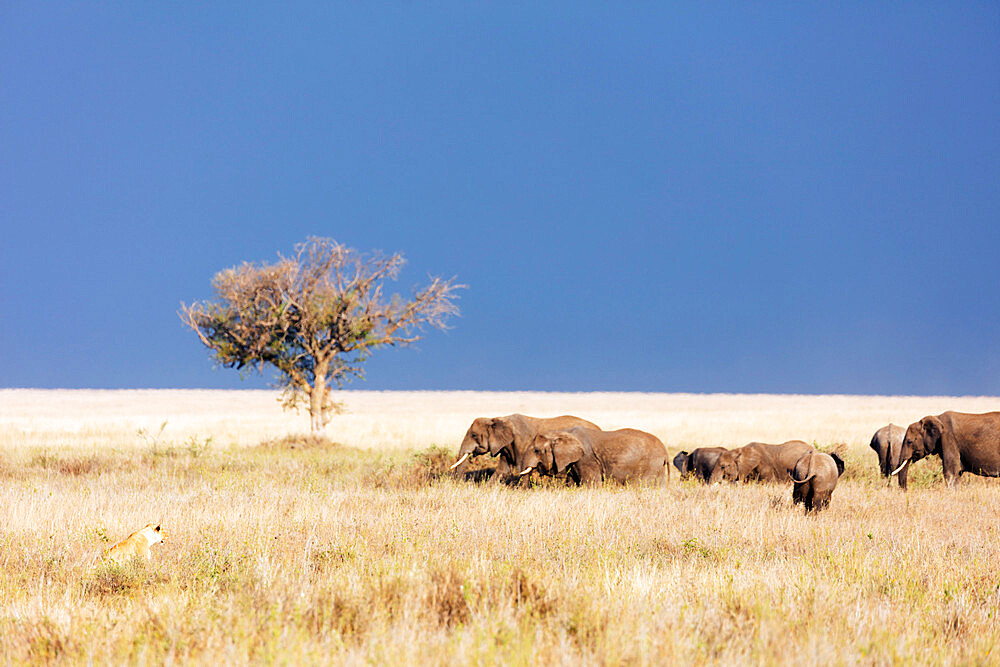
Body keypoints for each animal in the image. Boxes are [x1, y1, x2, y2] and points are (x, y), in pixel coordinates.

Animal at [450, 414, 596, 482]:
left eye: (474, 435)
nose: (459, 483)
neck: (497, 419)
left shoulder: (522, 443)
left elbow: (522, 468)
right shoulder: (506, 447)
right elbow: (502, 470)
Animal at [520, 428, 668, 486]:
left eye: (537, 450)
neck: (561, 432)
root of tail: (665, 451)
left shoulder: (587, 459)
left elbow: (591, 485)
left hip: (650, 465)